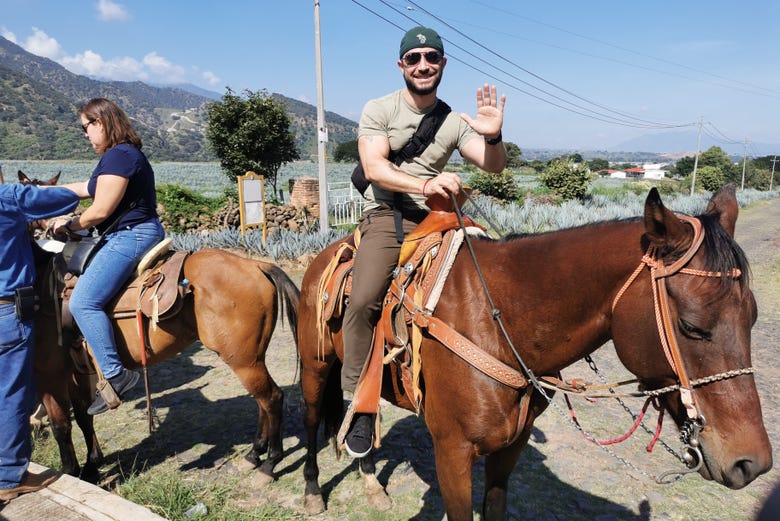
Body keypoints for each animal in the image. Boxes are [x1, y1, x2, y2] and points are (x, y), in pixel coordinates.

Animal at [31, 228, 298, 480]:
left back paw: (270, 463)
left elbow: (60, 425)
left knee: (272, 399)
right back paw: (254, 455)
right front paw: (91, 465)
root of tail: (255, 265)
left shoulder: (49, 377)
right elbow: (84, 419)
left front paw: (70, 471)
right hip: (252, 358)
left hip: (243, 361)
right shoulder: (75, 374)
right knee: (262, 401)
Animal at [298, 184, 772, 520]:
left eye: (752, 316)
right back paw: (312, 493)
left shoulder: (510, 449)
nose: (752, 463)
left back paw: (371, 482)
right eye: (692, 326)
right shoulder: (451, 453)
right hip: (316, 368)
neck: (495, 321)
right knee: (312, 422)